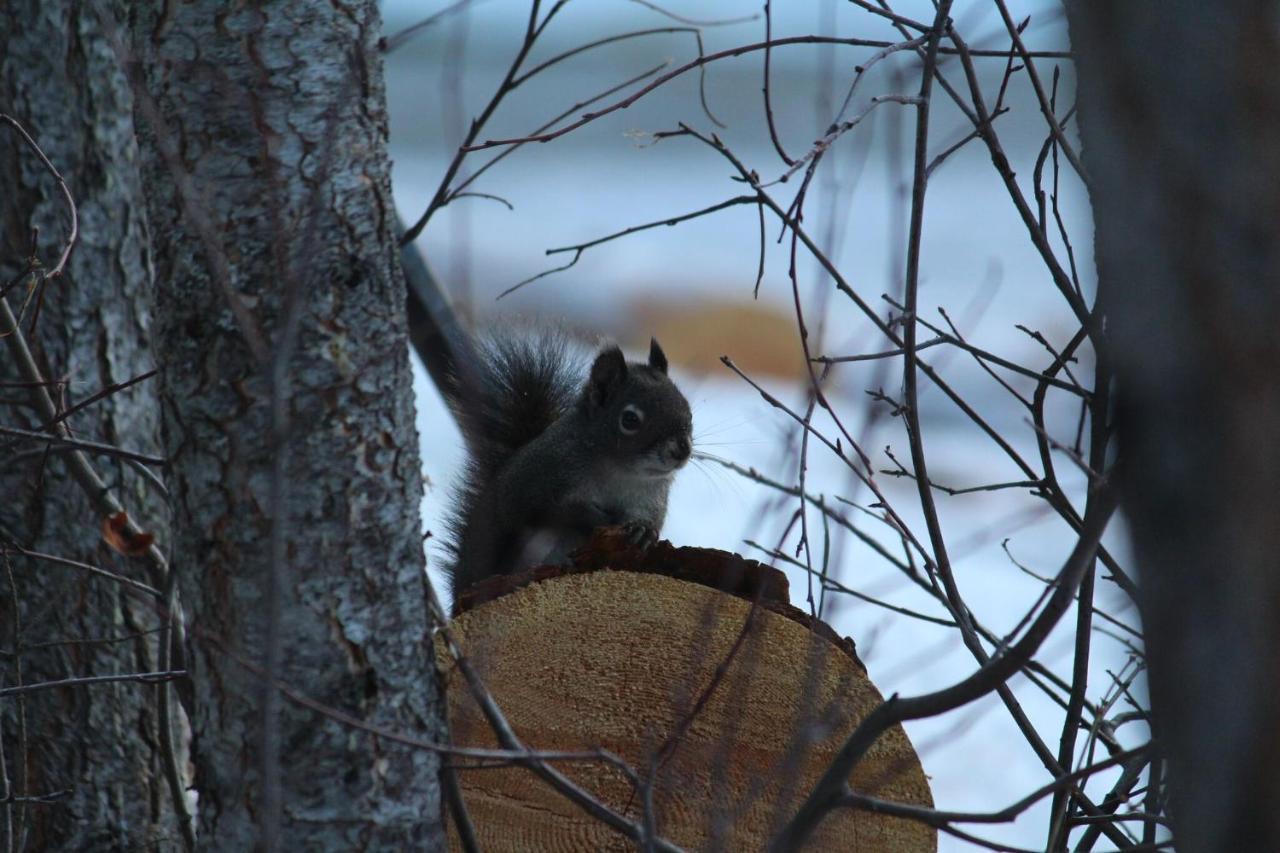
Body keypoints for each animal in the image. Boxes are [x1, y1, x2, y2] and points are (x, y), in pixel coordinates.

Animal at [445, 327, 696, 601]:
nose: (682, 450)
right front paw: (597, 518)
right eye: (630, 419)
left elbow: (649, 518)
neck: (620, 471)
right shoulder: (537, 478)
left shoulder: (651, 496)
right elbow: (551, 508)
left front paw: (643, 530)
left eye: (687, 409)